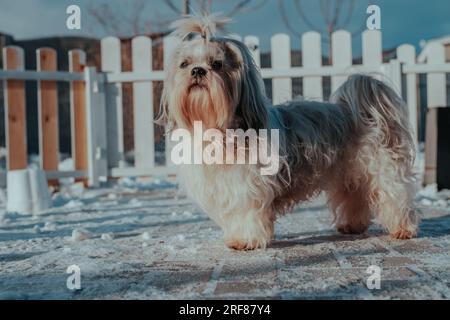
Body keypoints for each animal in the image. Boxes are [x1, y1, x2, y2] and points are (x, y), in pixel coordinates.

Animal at [158, 15, 418, 250]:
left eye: (217, 64)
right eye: (184, 64)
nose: (198, 71)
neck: (217, 129)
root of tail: (363, 111)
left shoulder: (249, 187)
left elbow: (247, 213)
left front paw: (246, 240)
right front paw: (236, 237)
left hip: (383, 168)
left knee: (395, 196)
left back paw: (403, 228)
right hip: (349, 175)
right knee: (355, 198)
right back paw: (352, 226)